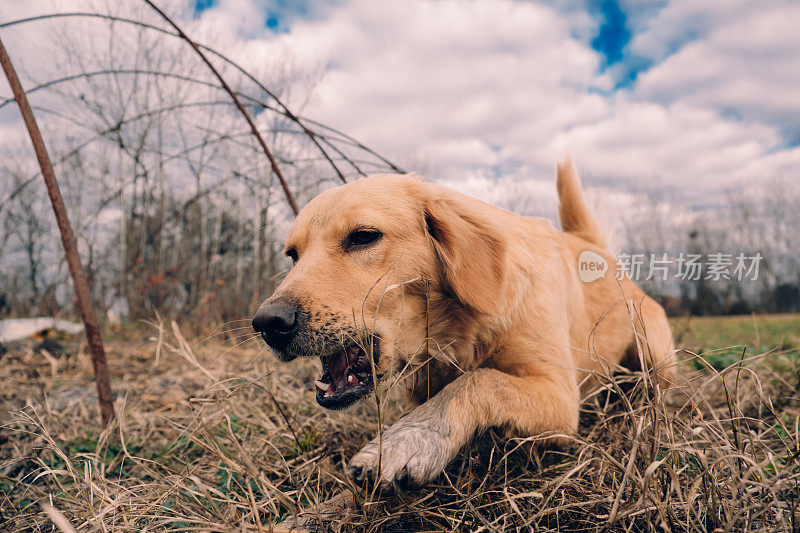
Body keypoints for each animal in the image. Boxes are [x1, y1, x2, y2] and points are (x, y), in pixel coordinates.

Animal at [253, 160, 672, 488]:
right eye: (292, 255)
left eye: (363, 237)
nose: (268, 323)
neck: (457, 332)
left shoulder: (561, 399)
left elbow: (477, 381)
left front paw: (409, 441)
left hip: (654, 353)